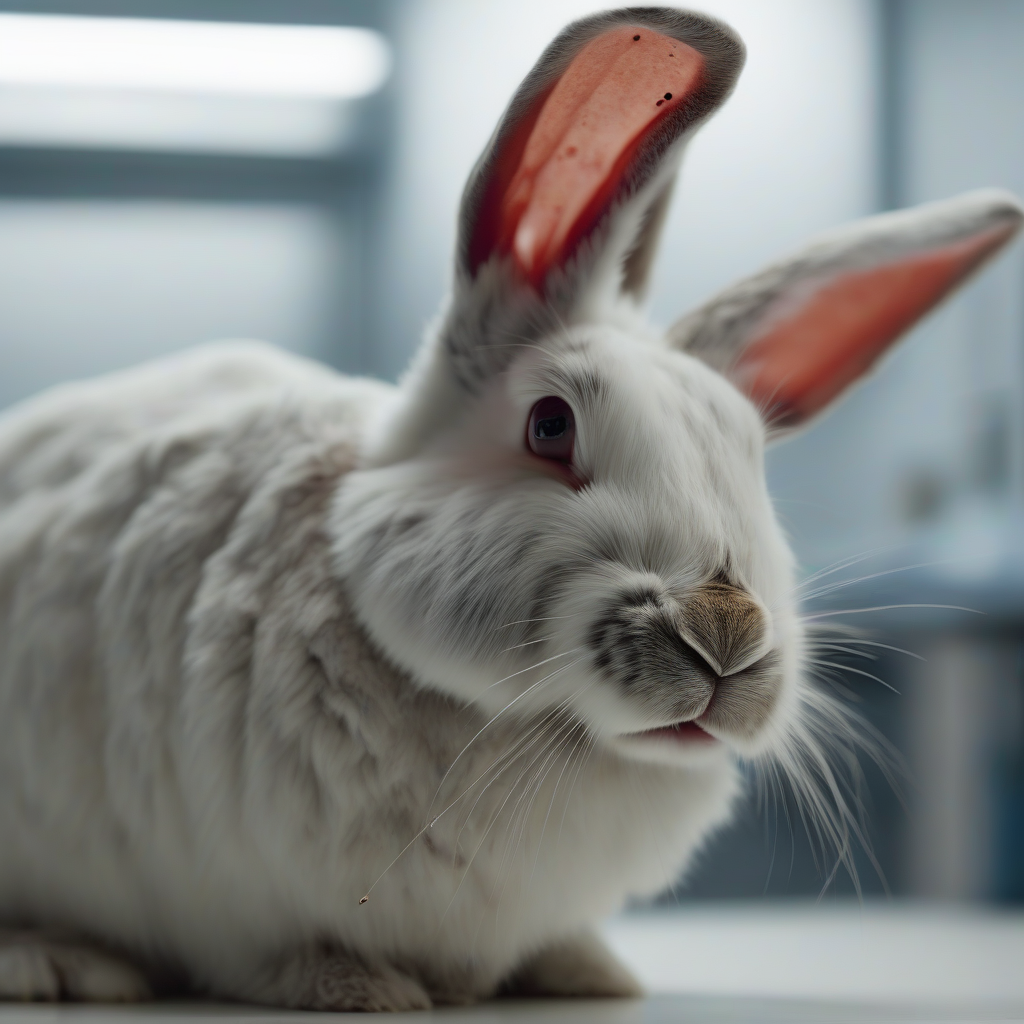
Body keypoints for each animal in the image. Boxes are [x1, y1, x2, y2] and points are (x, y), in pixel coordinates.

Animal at [0, 6, 1020, 1013]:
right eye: (550, 424)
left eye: (751, 456)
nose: (726, 632)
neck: (539, 731)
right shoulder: (229, 901)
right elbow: (277, 951)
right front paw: (359, 988)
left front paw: (589, 975)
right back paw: (57, 964)